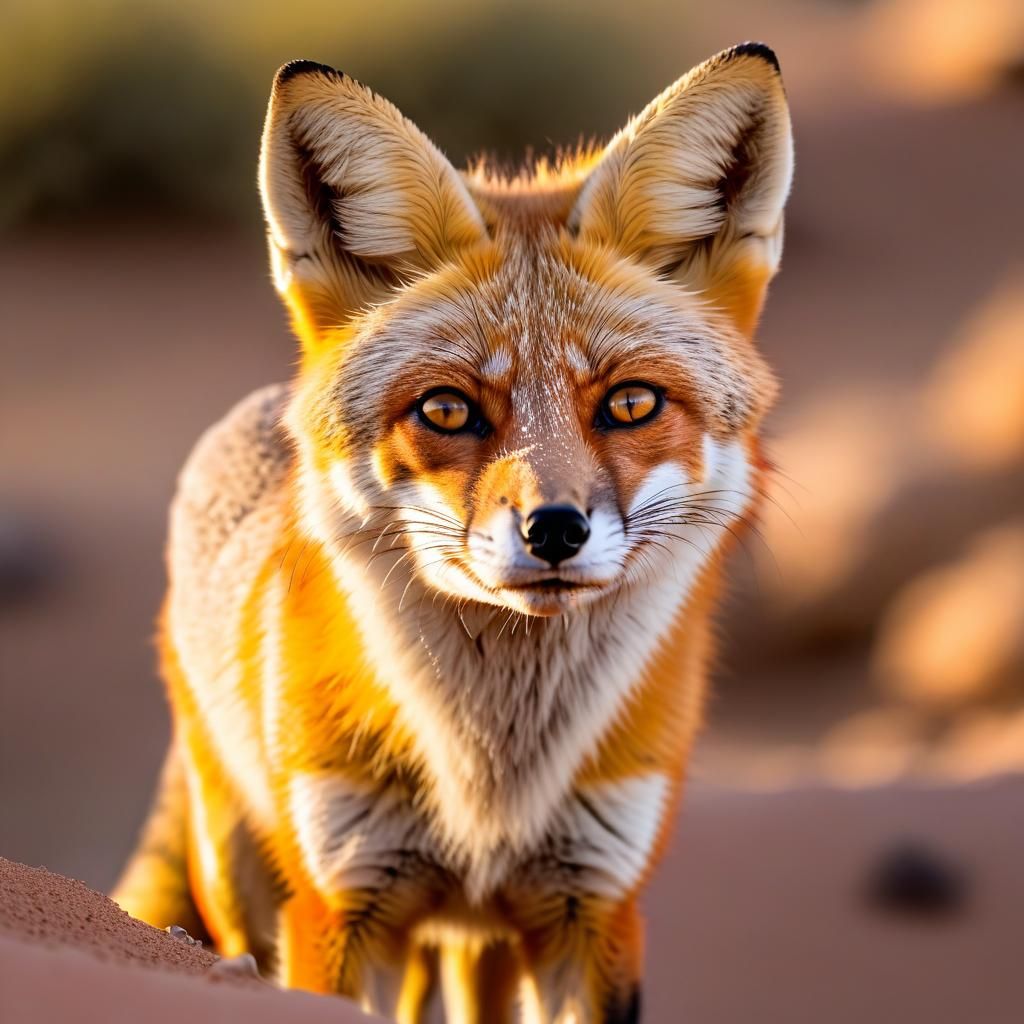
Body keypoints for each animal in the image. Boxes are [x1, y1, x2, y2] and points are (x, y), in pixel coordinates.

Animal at [112, 42, 792, 1023]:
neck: (491, 793)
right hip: (246, 885)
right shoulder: (341, 904)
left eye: (631, 404)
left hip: (483, 943)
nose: (555, 529)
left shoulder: (596, 906)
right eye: (447, 409)